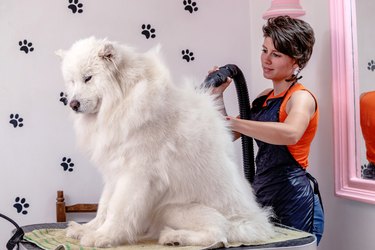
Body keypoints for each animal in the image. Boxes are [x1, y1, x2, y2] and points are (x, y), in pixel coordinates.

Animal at [55, 37, 274, 248]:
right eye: (72, 81)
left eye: (88, 78)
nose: (72, 104)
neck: (123, 101)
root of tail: (253, 223)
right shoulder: (114, 172)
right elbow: (104, 206)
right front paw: (86, 229)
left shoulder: (136, 175)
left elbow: (118, 209)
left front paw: (103, 237)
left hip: (172, 209)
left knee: (219, 234)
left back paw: (174, 237)